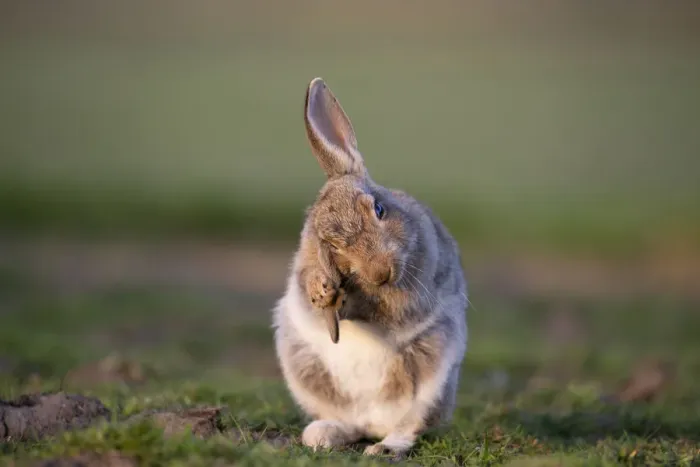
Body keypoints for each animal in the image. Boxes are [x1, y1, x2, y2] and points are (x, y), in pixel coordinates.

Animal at [272, 77, 468, 457]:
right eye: (333, 246)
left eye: (379, 209)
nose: (381, 273)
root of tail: (373, 422)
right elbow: (306, 286)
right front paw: (321, 289)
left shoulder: (415, 285)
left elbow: (389, 307)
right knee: (348, 425)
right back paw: (322, 436)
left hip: (433, 374)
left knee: (409, 426)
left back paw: (384, 449)